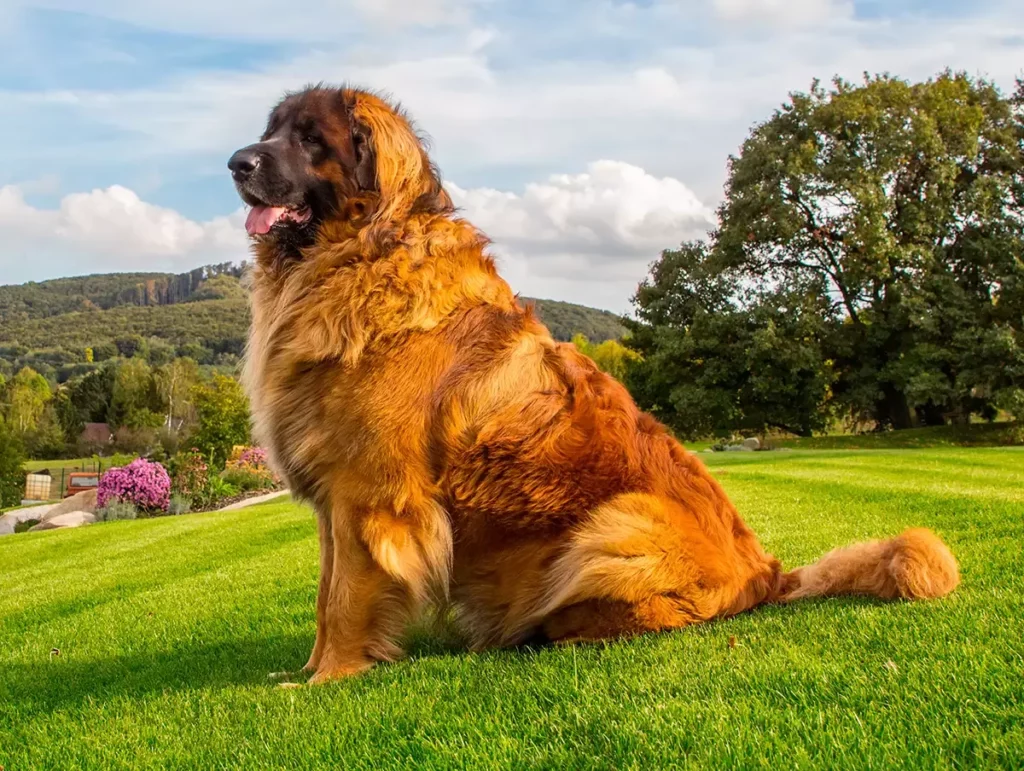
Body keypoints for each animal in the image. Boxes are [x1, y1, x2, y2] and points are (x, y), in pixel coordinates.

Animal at [226, 85, 958, 683]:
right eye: (271, 130)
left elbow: (347, 598)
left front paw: (326, 679)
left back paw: (550, 629)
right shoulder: (336, 502)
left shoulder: (369, 495)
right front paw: (307, 668)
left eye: (310, 140)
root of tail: (768, 572)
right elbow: (325, 595)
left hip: (614, 524)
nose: (236, 162)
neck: (355, 256)